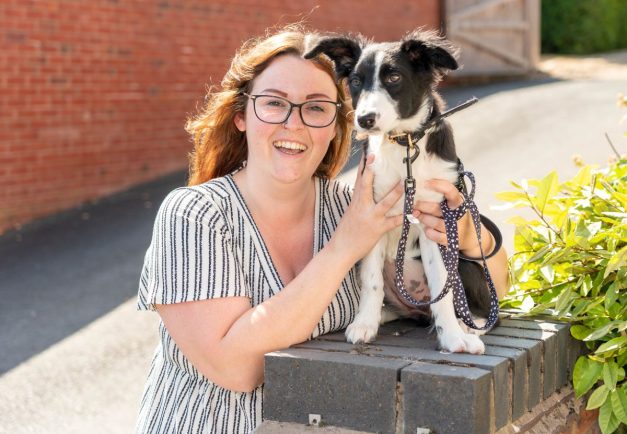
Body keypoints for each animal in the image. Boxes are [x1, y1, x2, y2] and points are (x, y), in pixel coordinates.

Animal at [306, 28, 494, 354]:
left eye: (394, 77)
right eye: (356, 81)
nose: (364, 119)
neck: (404, 145)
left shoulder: (436, 220)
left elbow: (443, 288)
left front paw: (452, 336)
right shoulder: (371, 217)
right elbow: (372, 282)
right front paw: (365, 324)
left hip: (469, 264)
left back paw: (469, 327)